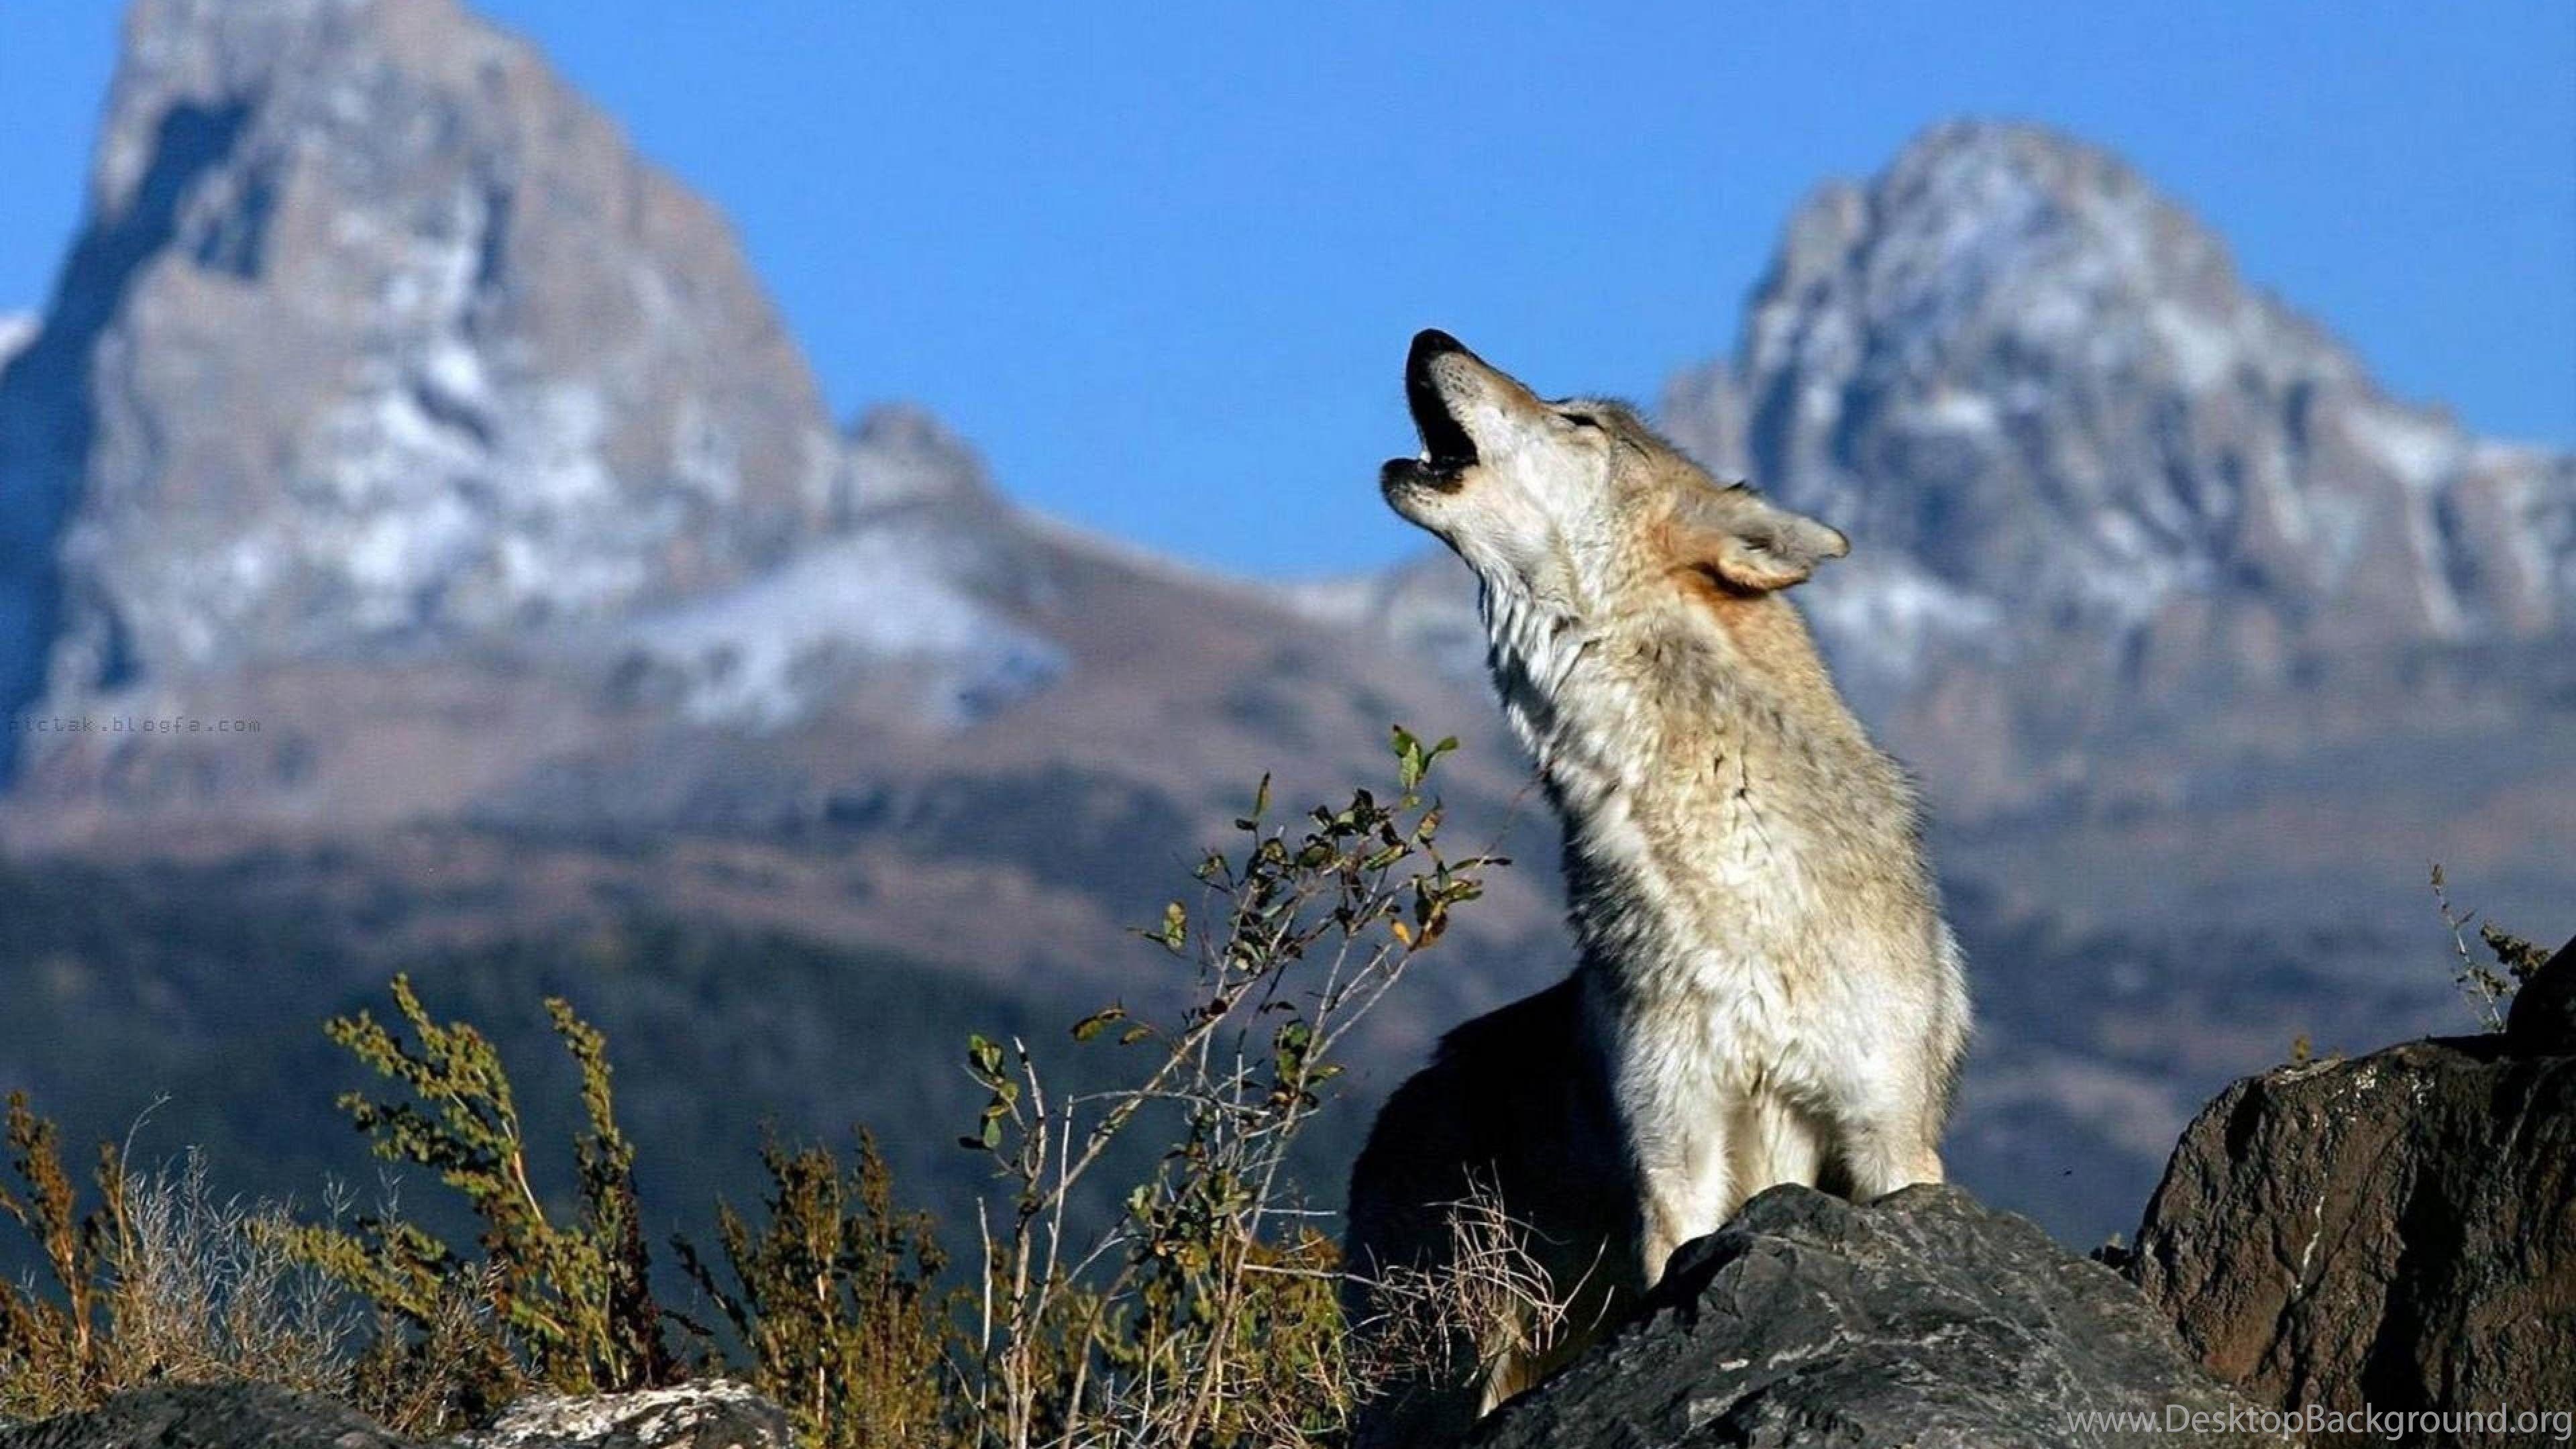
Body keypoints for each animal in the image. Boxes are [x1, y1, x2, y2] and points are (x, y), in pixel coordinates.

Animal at [1342, 330, 1970, 1439]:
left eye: (1579, 421)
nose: (1429, 338)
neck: (1737, 884)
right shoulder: (1675, 1157)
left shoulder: (1890, 1141)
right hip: (1453, 1355)